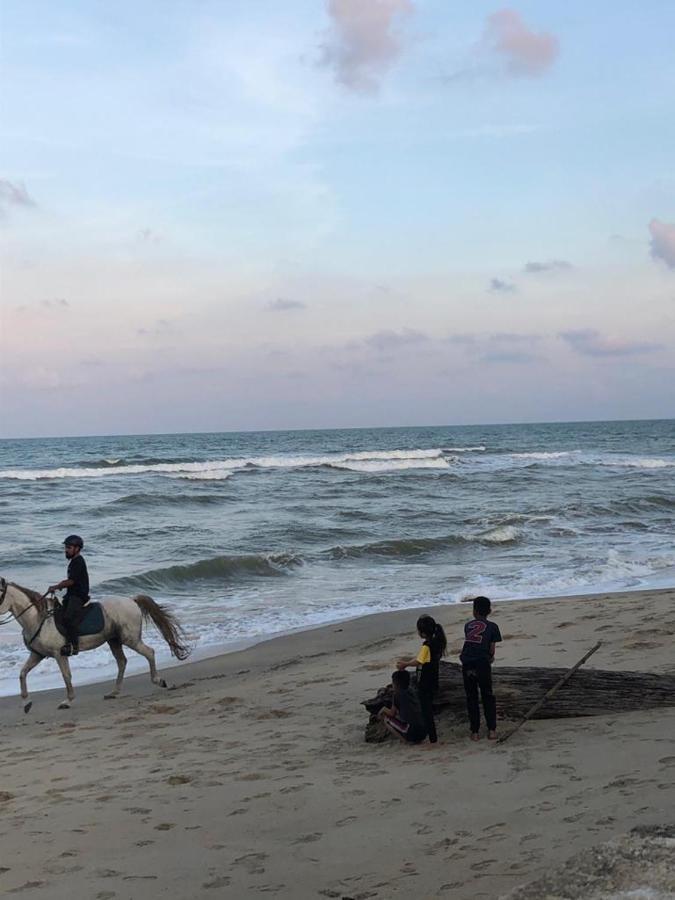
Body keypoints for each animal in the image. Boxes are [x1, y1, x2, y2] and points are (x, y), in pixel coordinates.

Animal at [0, 576, 190, 712]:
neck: (38, 619)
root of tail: (132, 600)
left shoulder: (58, 654)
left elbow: (66, 676)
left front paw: (67, 701)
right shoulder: (38, 654)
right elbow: (22, 674)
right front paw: (26, 703)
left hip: (130, 639)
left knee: (149, 652)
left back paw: (158, 680)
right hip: (114, 641)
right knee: (122, 662)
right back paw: (114, 692)